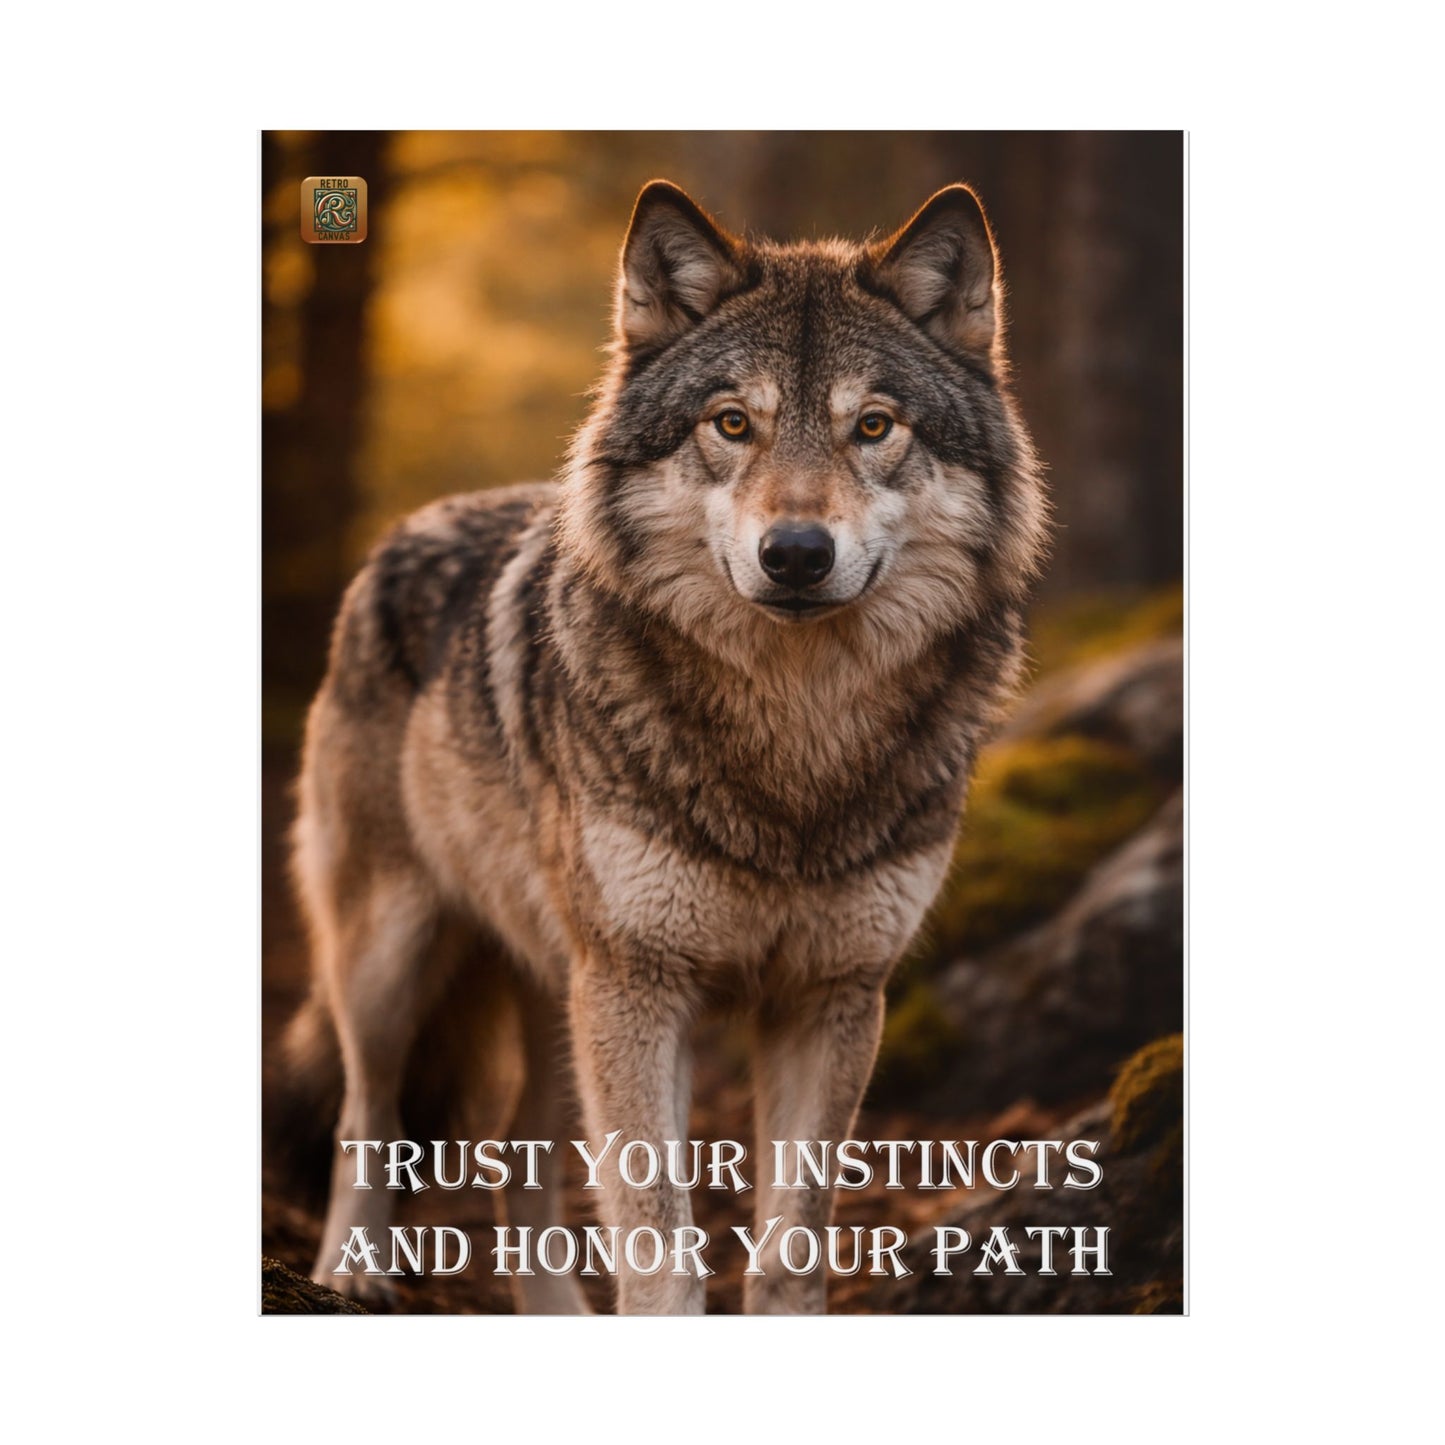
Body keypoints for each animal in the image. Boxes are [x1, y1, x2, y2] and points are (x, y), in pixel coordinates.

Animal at [278, 179, 1048, 1314]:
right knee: (364, 1116)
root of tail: (401, 534)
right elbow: (658, 1244)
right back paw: (350, 1273)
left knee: (515, 1166)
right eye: (731, 423)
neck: (792, 742)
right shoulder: (642, 984)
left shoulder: (831, 996)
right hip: (396, 962)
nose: (795, 552)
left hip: (559, 994)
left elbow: (786, 1251)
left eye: (873, 426)